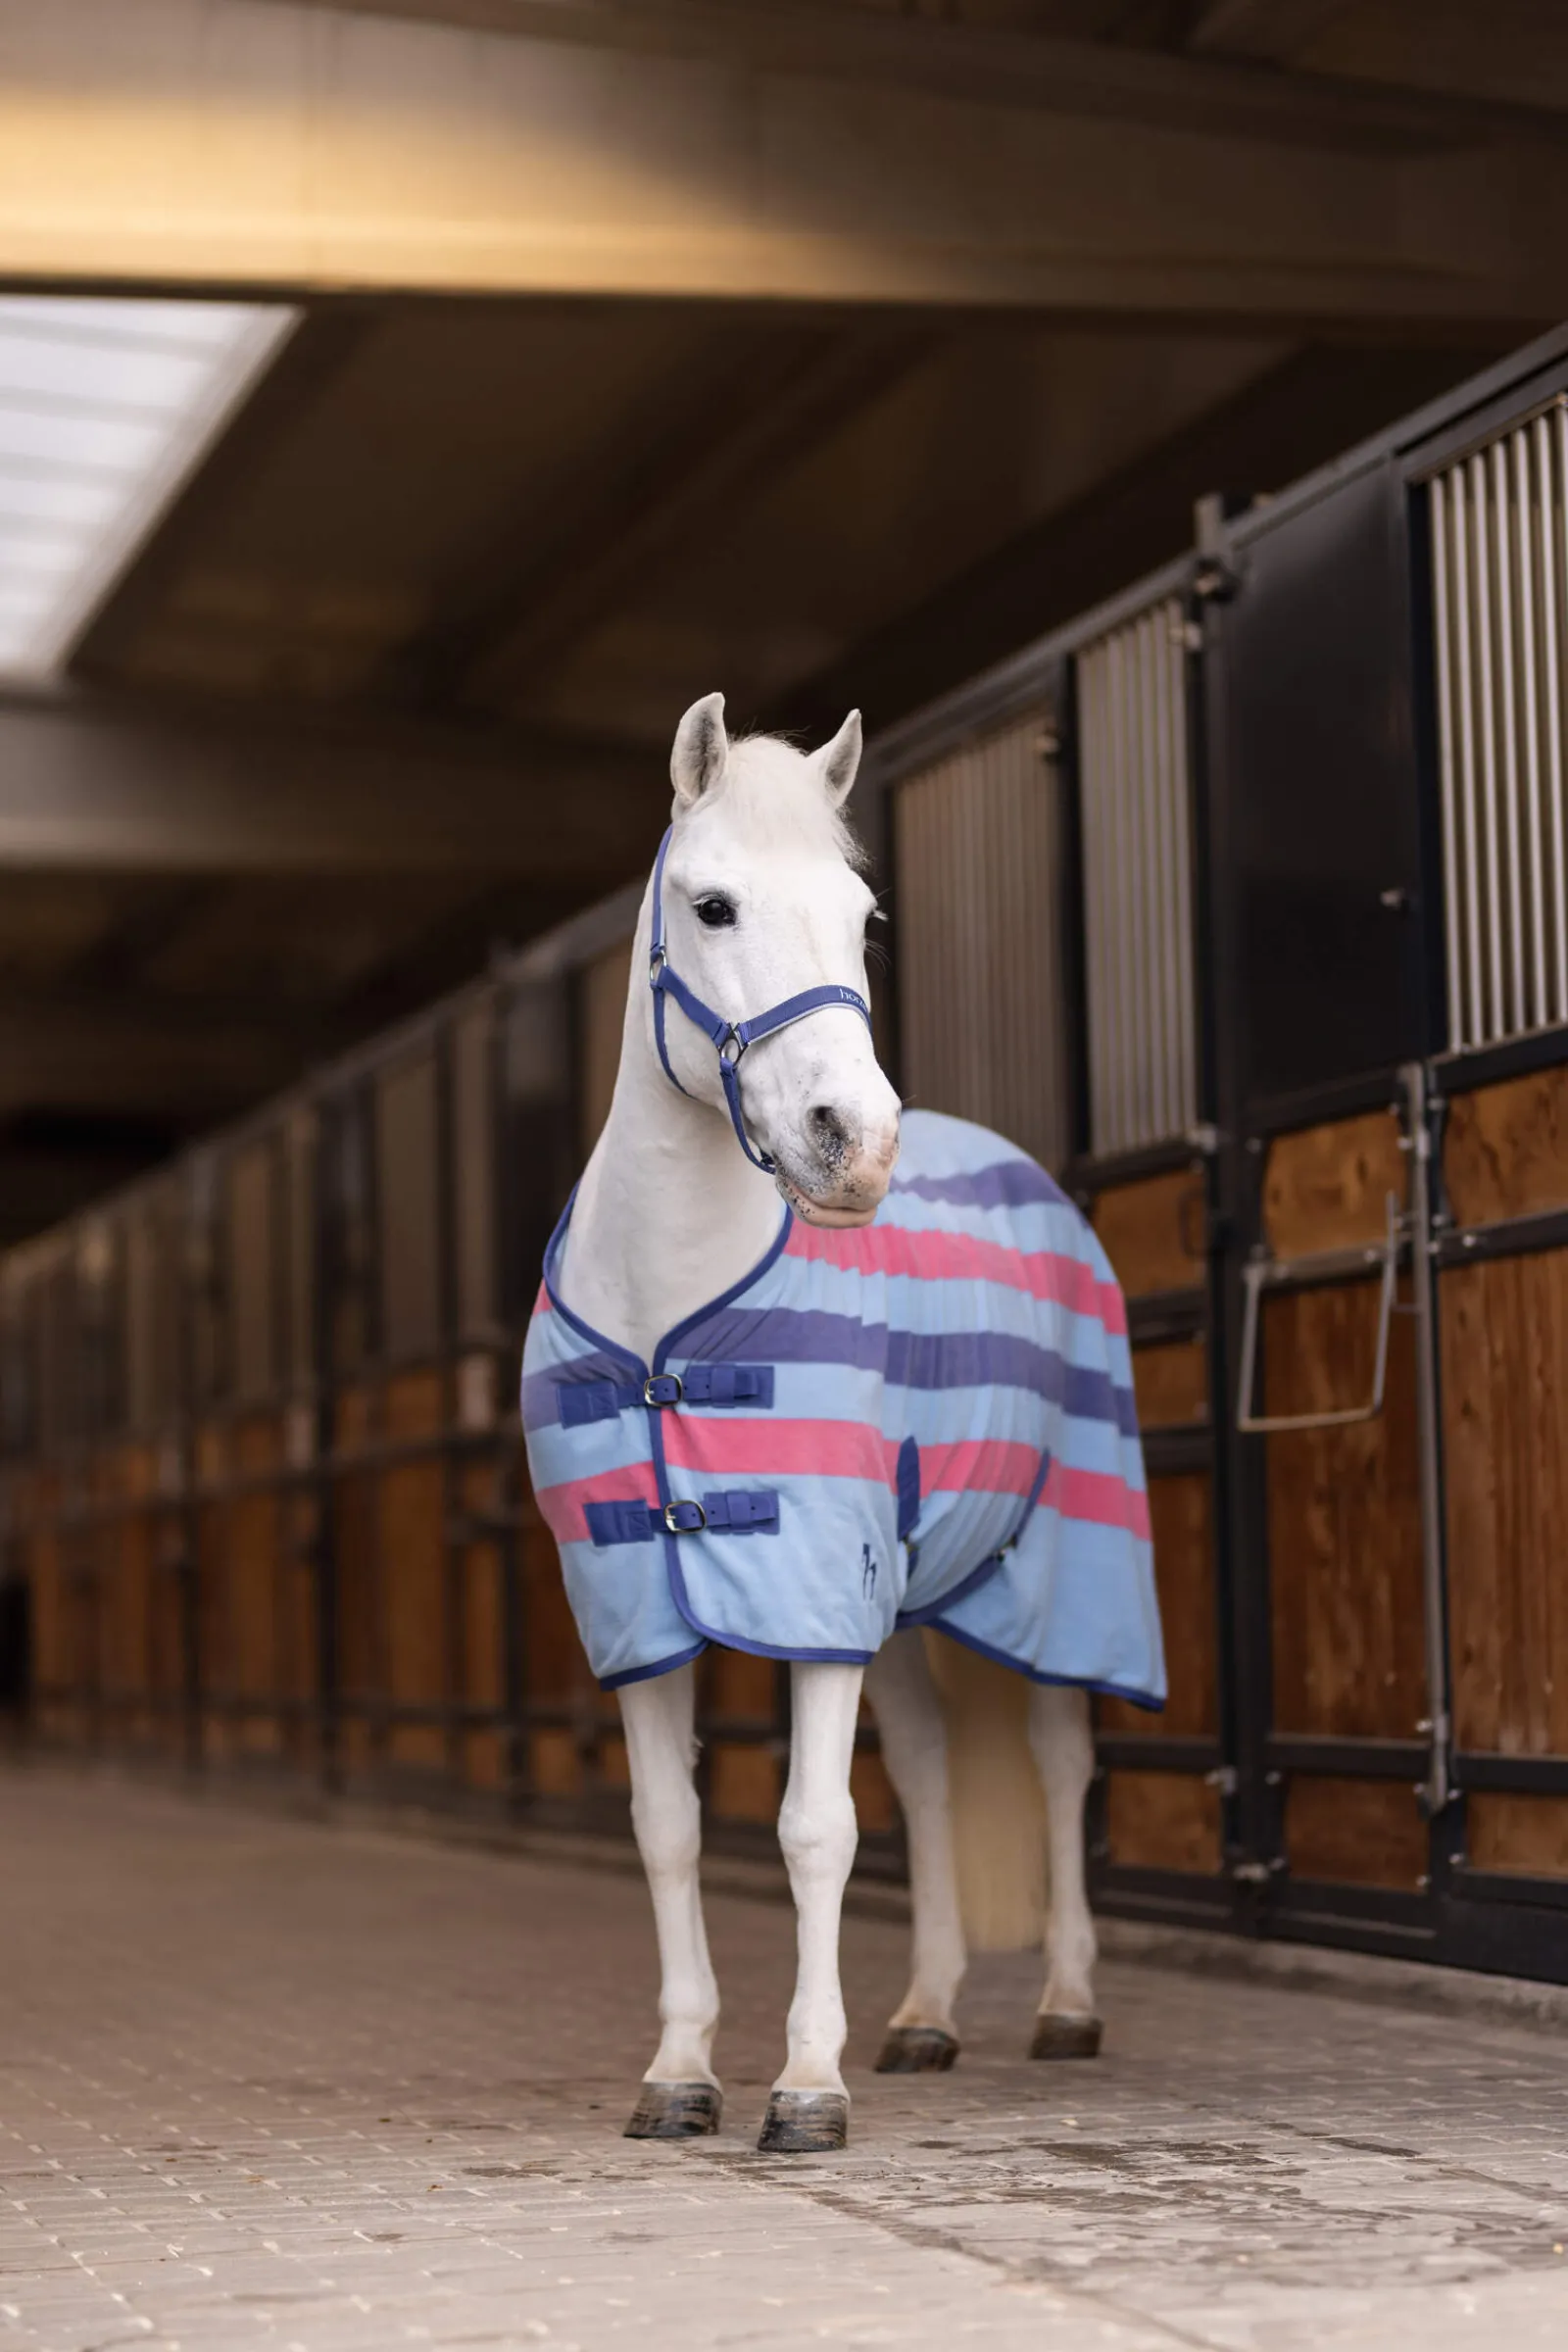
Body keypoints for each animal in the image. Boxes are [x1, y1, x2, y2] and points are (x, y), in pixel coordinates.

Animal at [522, 692, 1164, 2154]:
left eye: (864, 915)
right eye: (711, 905)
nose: (853, 1144)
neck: (671, 1321)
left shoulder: (815, 1580)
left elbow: (815, 1828)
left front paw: (805, 2089)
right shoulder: (638, 1604)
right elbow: (670, 1828)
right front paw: (680, 2075)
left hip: (1057, 1568)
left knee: (1058, 1765)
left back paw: (1066, 2007)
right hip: (913, 1608)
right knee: (929, 1780)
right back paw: (923, 2018)